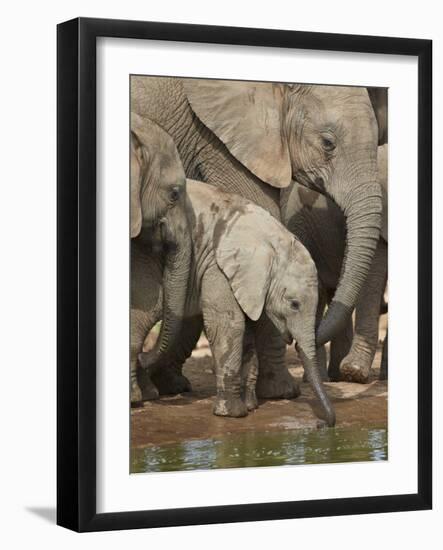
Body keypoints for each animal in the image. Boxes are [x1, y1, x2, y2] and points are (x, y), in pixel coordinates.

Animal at [140, 181, 334, 426]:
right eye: (294, 304)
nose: (322, 424)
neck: (272, 239)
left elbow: (248, 330)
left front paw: (250, 406)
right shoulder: (216, 265)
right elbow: (229, 326)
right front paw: (233, 413)